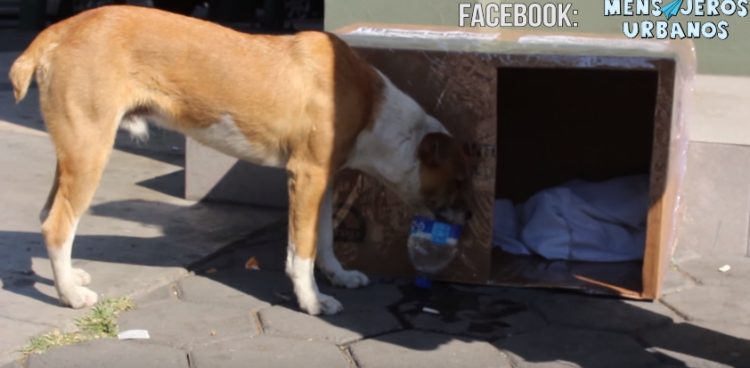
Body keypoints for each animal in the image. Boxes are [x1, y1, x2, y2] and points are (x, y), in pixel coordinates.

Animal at [10, 5, 470, 316]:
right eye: (460, 179)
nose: (468, 219)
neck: (374, 107)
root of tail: (60, 28)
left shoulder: (324, 181)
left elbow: (323, 238)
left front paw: (338, 275)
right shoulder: (306, 177)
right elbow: (301, 251)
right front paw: (312, 300)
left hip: (73, 153)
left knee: (49, 215)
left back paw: (69, 278)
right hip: (90, 150)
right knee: (57, 226)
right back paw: (71, 295)